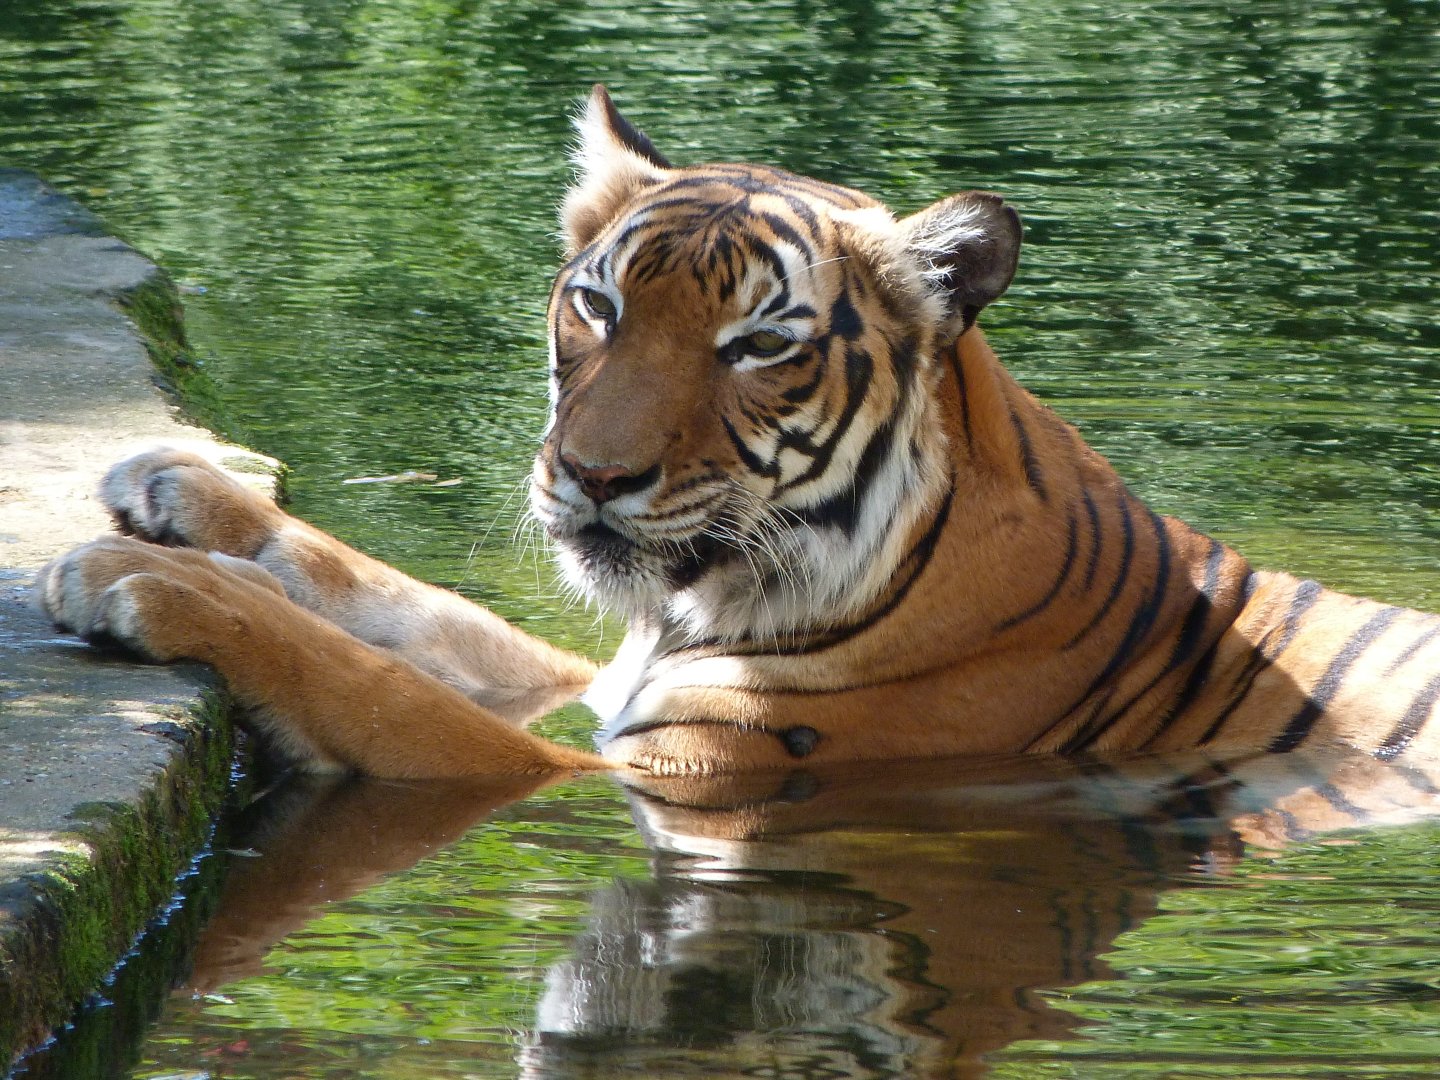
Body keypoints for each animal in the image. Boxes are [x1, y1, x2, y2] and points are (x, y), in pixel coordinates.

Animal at [33, 85, 1440, 780]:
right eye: (599, 304)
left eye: (760, 346)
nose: (593, 474)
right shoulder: (589, 685)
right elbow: (412, 604)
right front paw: (179, 490)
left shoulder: (647, 774)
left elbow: (371, 682)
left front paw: (143, 580)